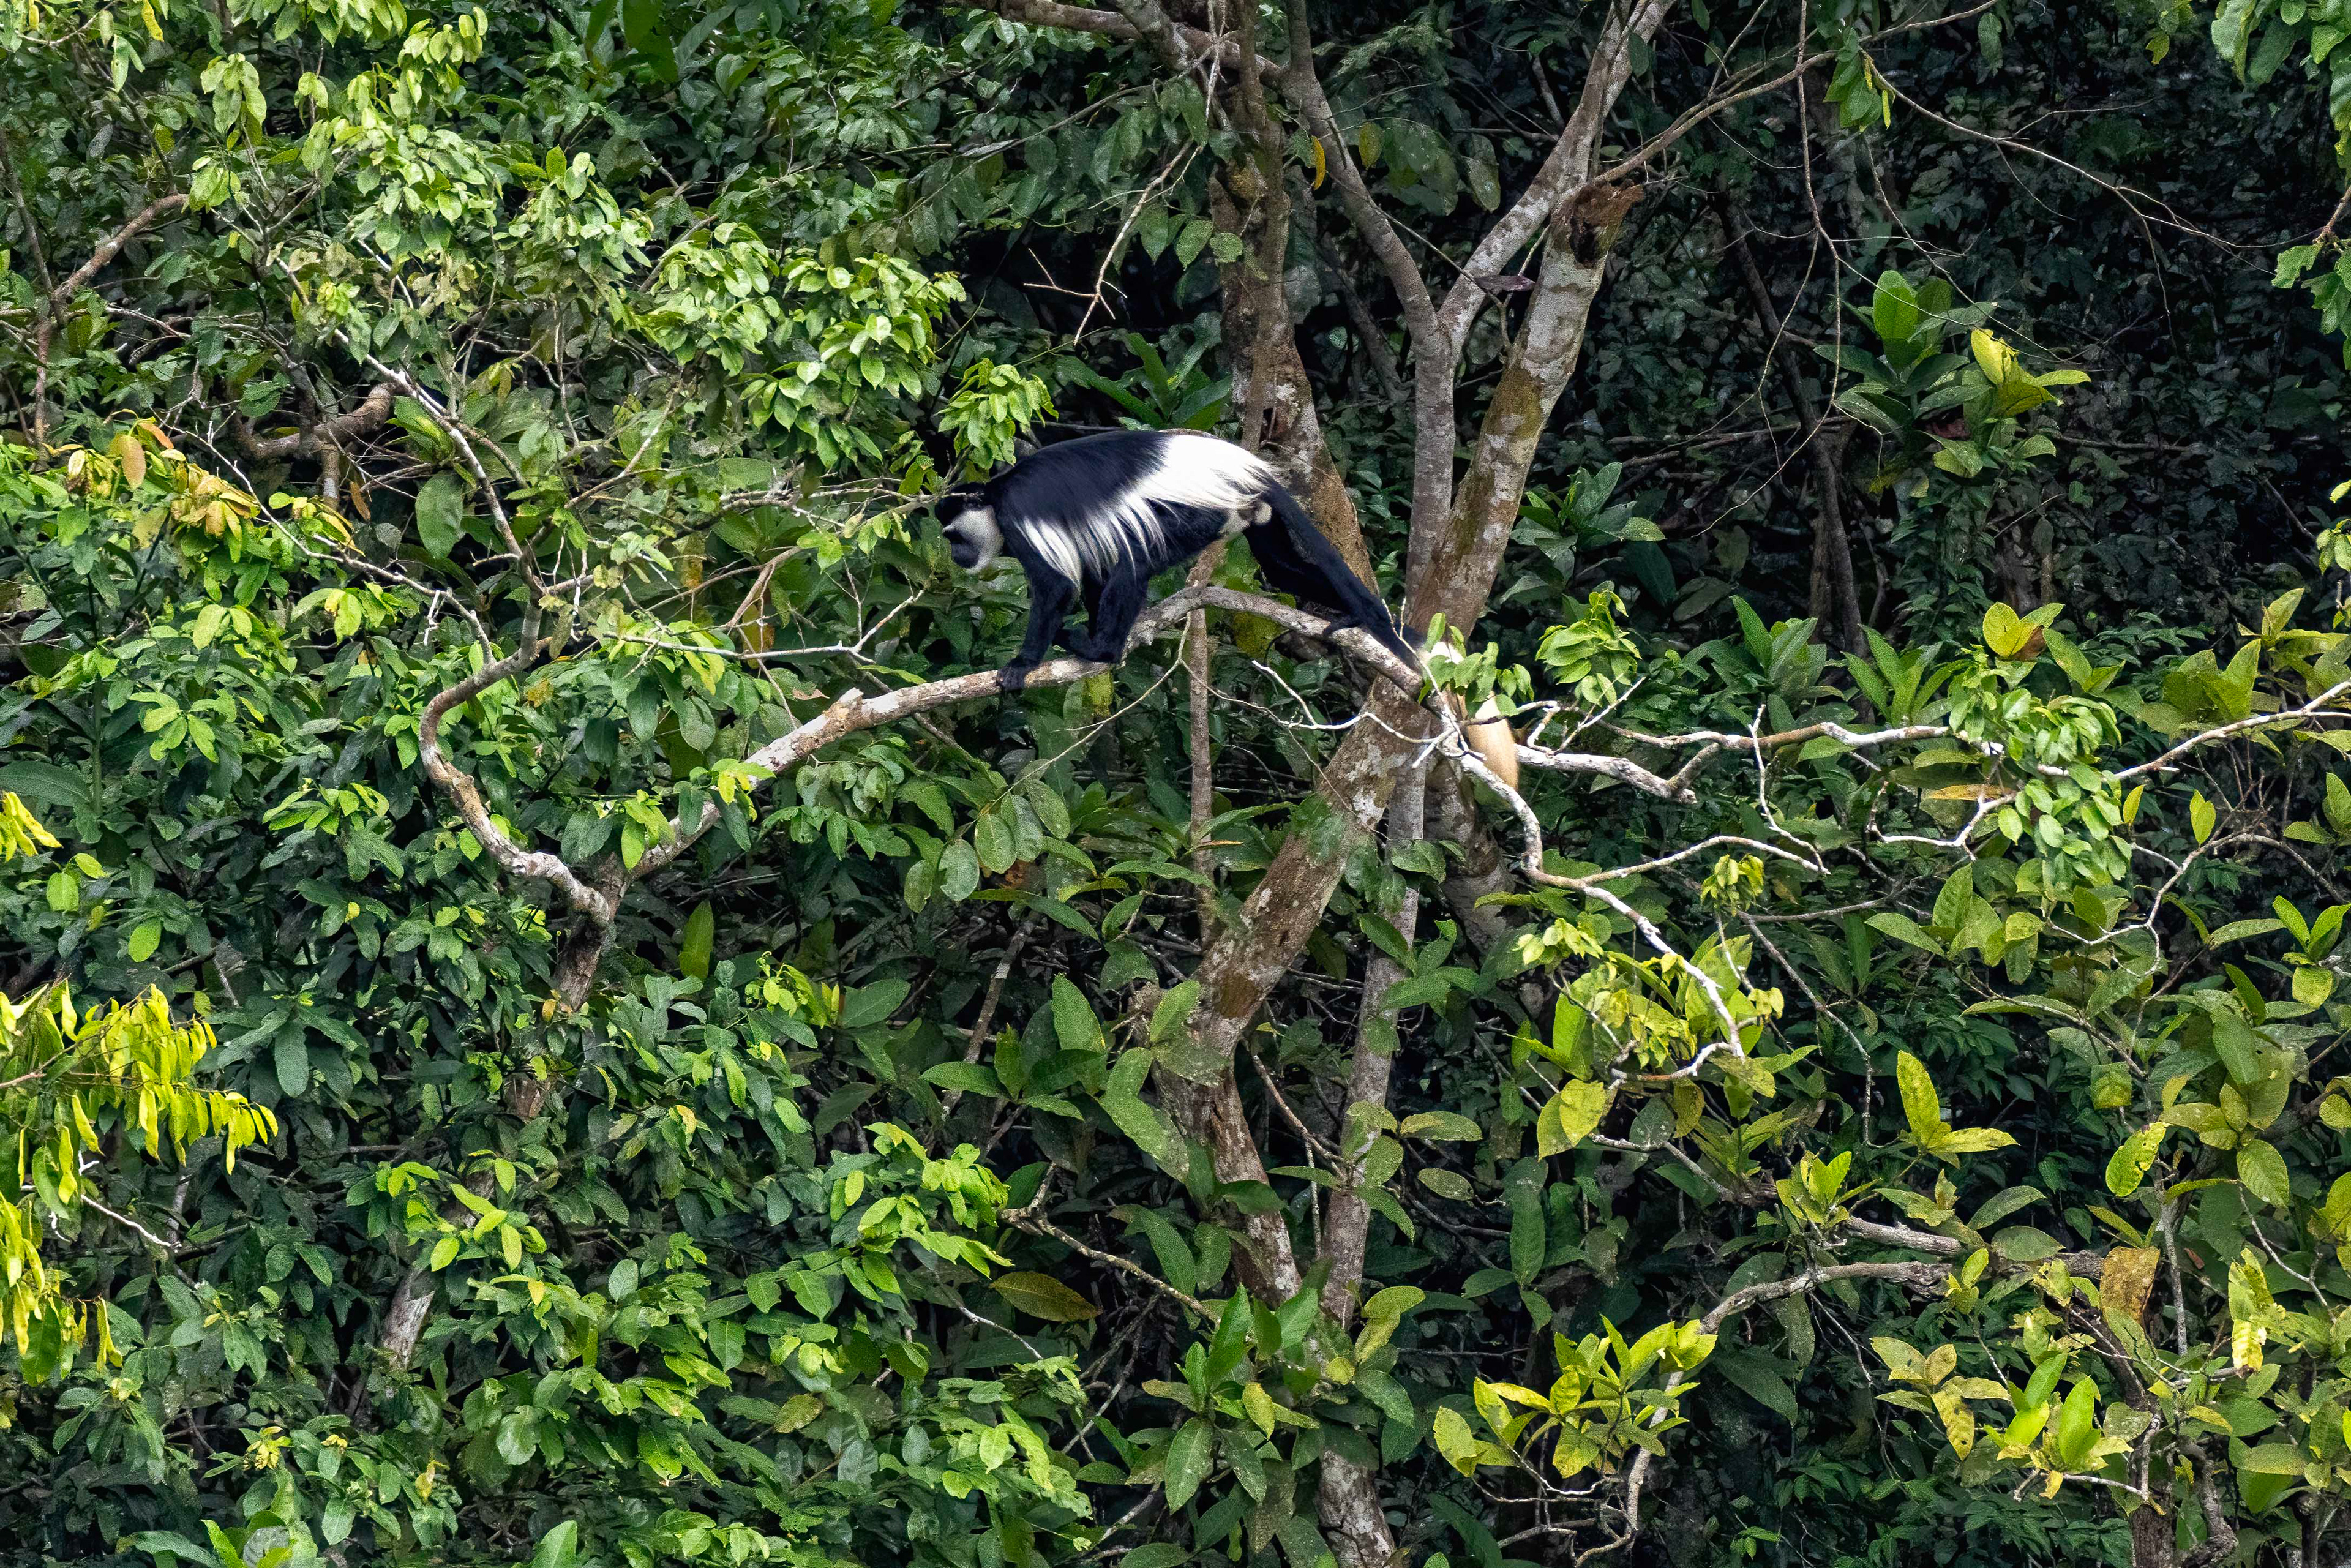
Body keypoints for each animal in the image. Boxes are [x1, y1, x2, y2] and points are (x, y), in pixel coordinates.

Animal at [934, 430, 1417, 693]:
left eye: (955, 536)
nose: (957, 556)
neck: (995, 499)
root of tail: (1245, 468)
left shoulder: (1020, 516)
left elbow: (1057, 588)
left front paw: (1023, 664)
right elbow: (1093, 573)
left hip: (1197, 513)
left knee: (1135, 560)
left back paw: (1099, 650)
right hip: (1253, 515)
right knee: (1284, 569)